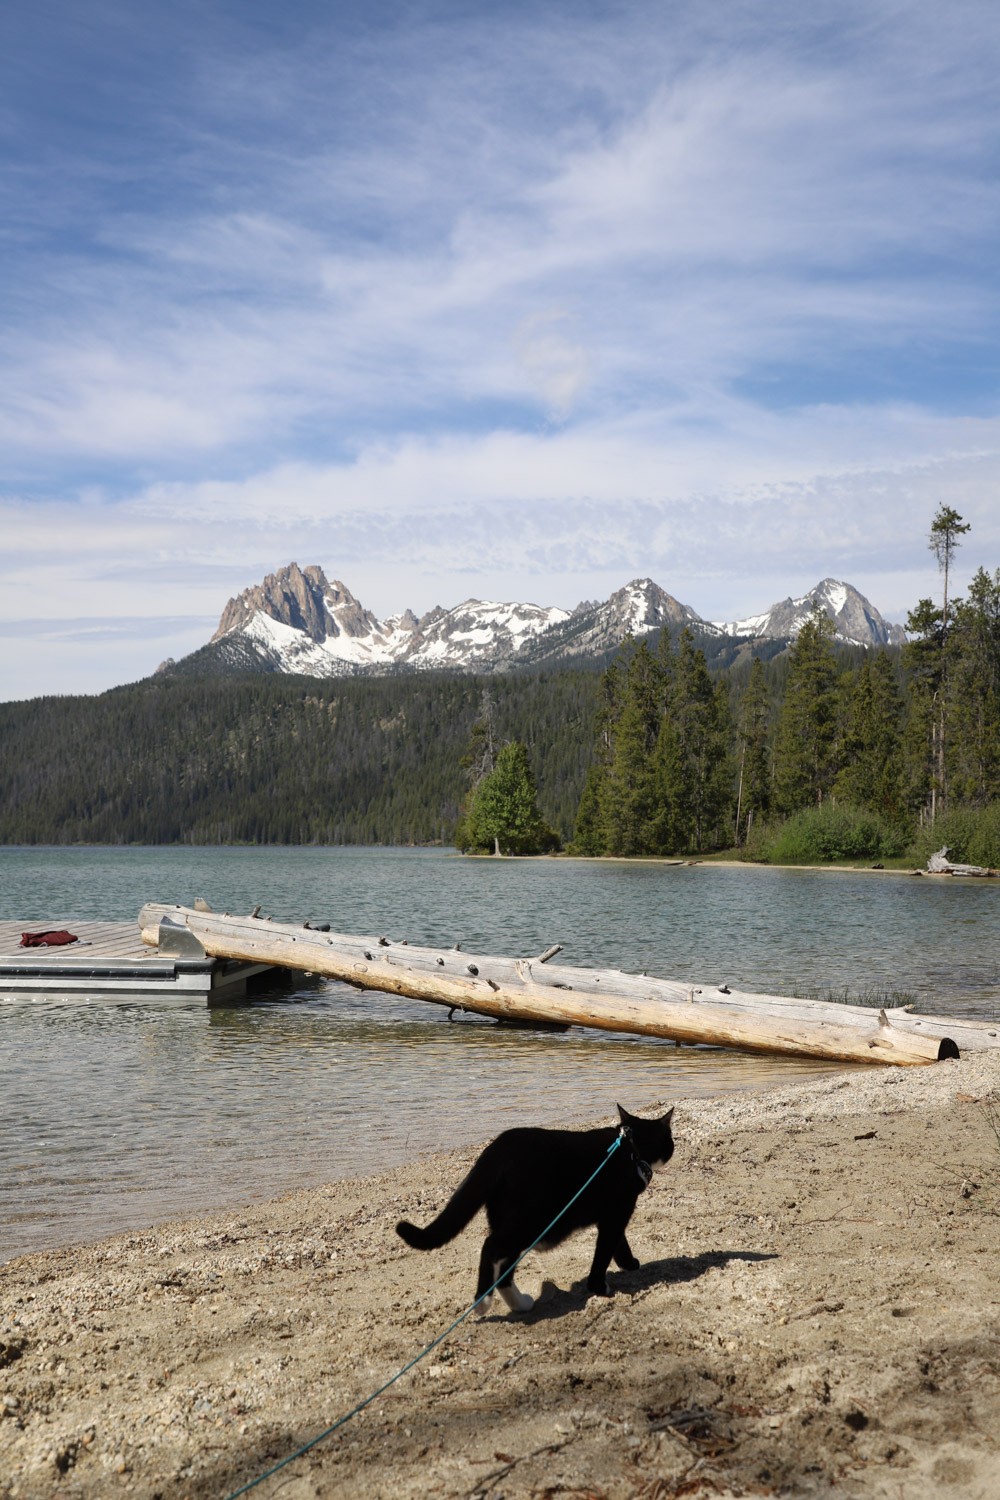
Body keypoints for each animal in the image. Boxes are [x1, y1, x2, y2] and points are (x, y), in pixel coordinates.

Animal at [395, 1104, 671, 1314]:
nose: (672, 1146)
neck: (630, 1147)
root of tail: (497, 1149)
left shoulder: (610, 1215)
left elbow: (618, 1242)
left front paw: (627, 1264)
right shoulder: (617, 1211)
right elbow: (606, 1249)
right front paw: (600, 1286)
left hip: (510, 1219)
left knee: (504, 1266)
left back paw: (521, 1305)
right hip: (531, 1220)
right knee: (490, 1247)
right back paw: (482, 1302)